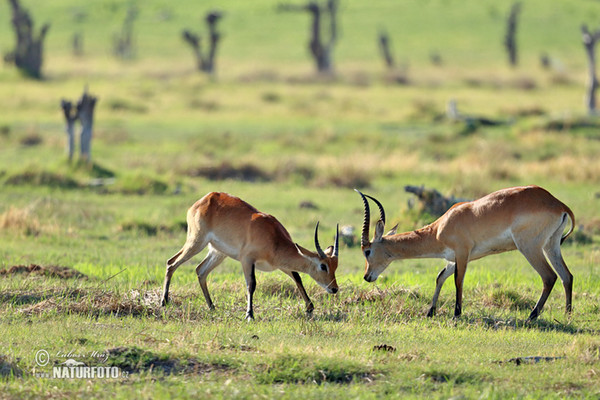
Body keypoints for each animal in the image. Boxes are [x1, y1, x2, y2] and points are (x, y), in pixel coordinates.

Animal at [162, 192, 340, 320]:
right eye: (323, 266)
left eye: (335, 266)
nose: (334, 288)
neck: (273, 238)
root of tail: (204, 199)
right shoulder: (247, 259)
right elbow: (251, 284)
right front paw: (250, 314)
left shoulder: (280, 264)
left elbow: (297, 278)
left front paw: (309, 307)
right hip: (196, 241)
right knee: (172, 262)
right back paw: (164, 302)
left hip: (218, 252)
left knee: (200, 270)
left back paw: (211, 307)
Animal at [356, 185, 576, 322]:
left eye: (367, 251)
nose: (367, 276)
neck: (439, 229)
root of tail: (557, 203)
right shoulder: (452, 258)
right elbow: (439, 277)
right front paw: (430, 312)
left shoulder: (462, 254)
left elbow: (457, 281)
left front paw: (457, 314)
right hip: (551, 245)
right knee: (567, 276)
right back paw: (567, 315)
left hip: (529, 247)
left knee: (549, 277)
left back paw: (531, 316)